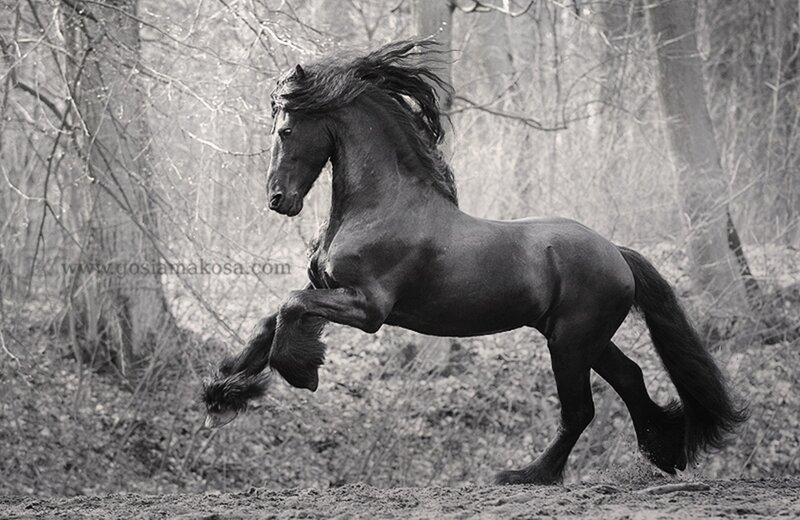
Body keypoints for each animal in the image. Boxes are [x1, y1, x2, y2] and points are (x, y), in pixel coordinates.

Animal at [202, 40, 747, 485]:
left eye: (286, 129)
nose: (278, 200)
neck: (382, 205)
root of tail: (618, 253)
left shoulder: (369, 308)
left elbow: (290, 307)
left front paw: (300, 372)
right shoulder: (329, 290)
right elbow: (269, 320)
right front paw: (222, 395)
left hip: (570, 342)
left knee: (581, 410)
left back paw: (529, 475)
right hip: (581, 337)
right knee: (630, 378)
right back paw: (663, 453)